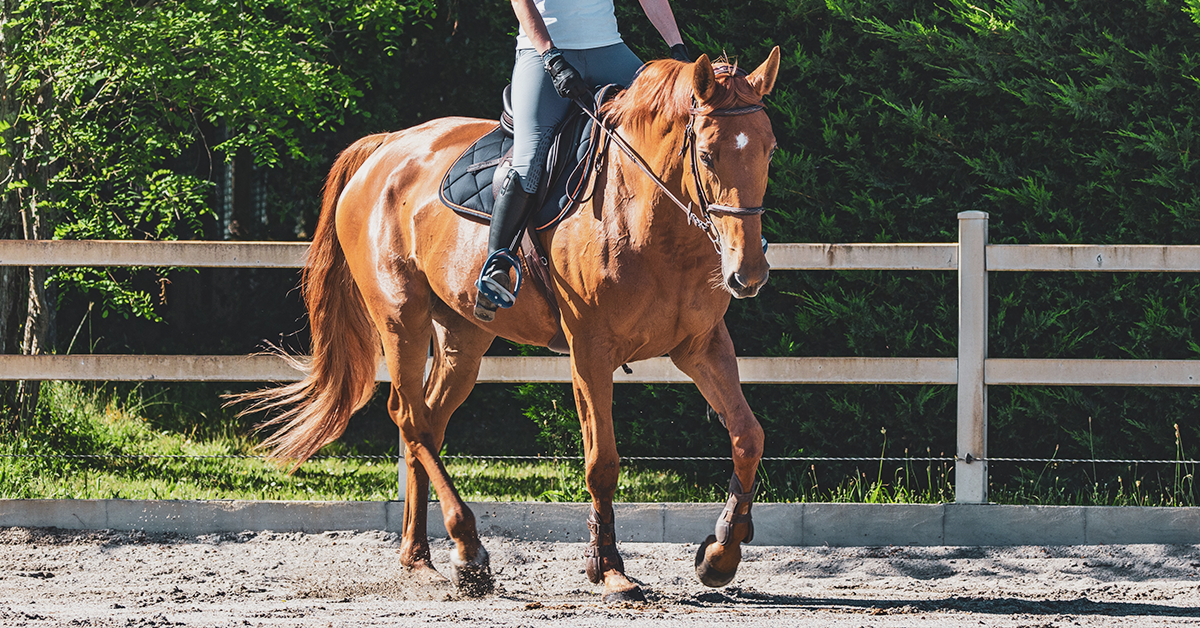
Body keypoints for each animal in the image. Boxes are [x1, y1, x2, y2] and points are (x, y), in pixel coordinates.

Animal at [242, 48, 782, 600]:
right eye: (709, 155)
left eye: (770, 151)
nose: (748, 274)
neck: (649, 219)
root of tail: (384, 148)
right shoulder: (590, 350)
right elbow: (602, 462)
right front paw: (608, 569)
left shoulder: (701, 345)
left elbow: (748, 436)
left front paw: (720, 554)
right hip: (400, 317)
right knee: (409, 417)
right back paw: (468, 548)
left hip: (462, 336)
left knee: (429, 421)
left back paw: (420, 559)